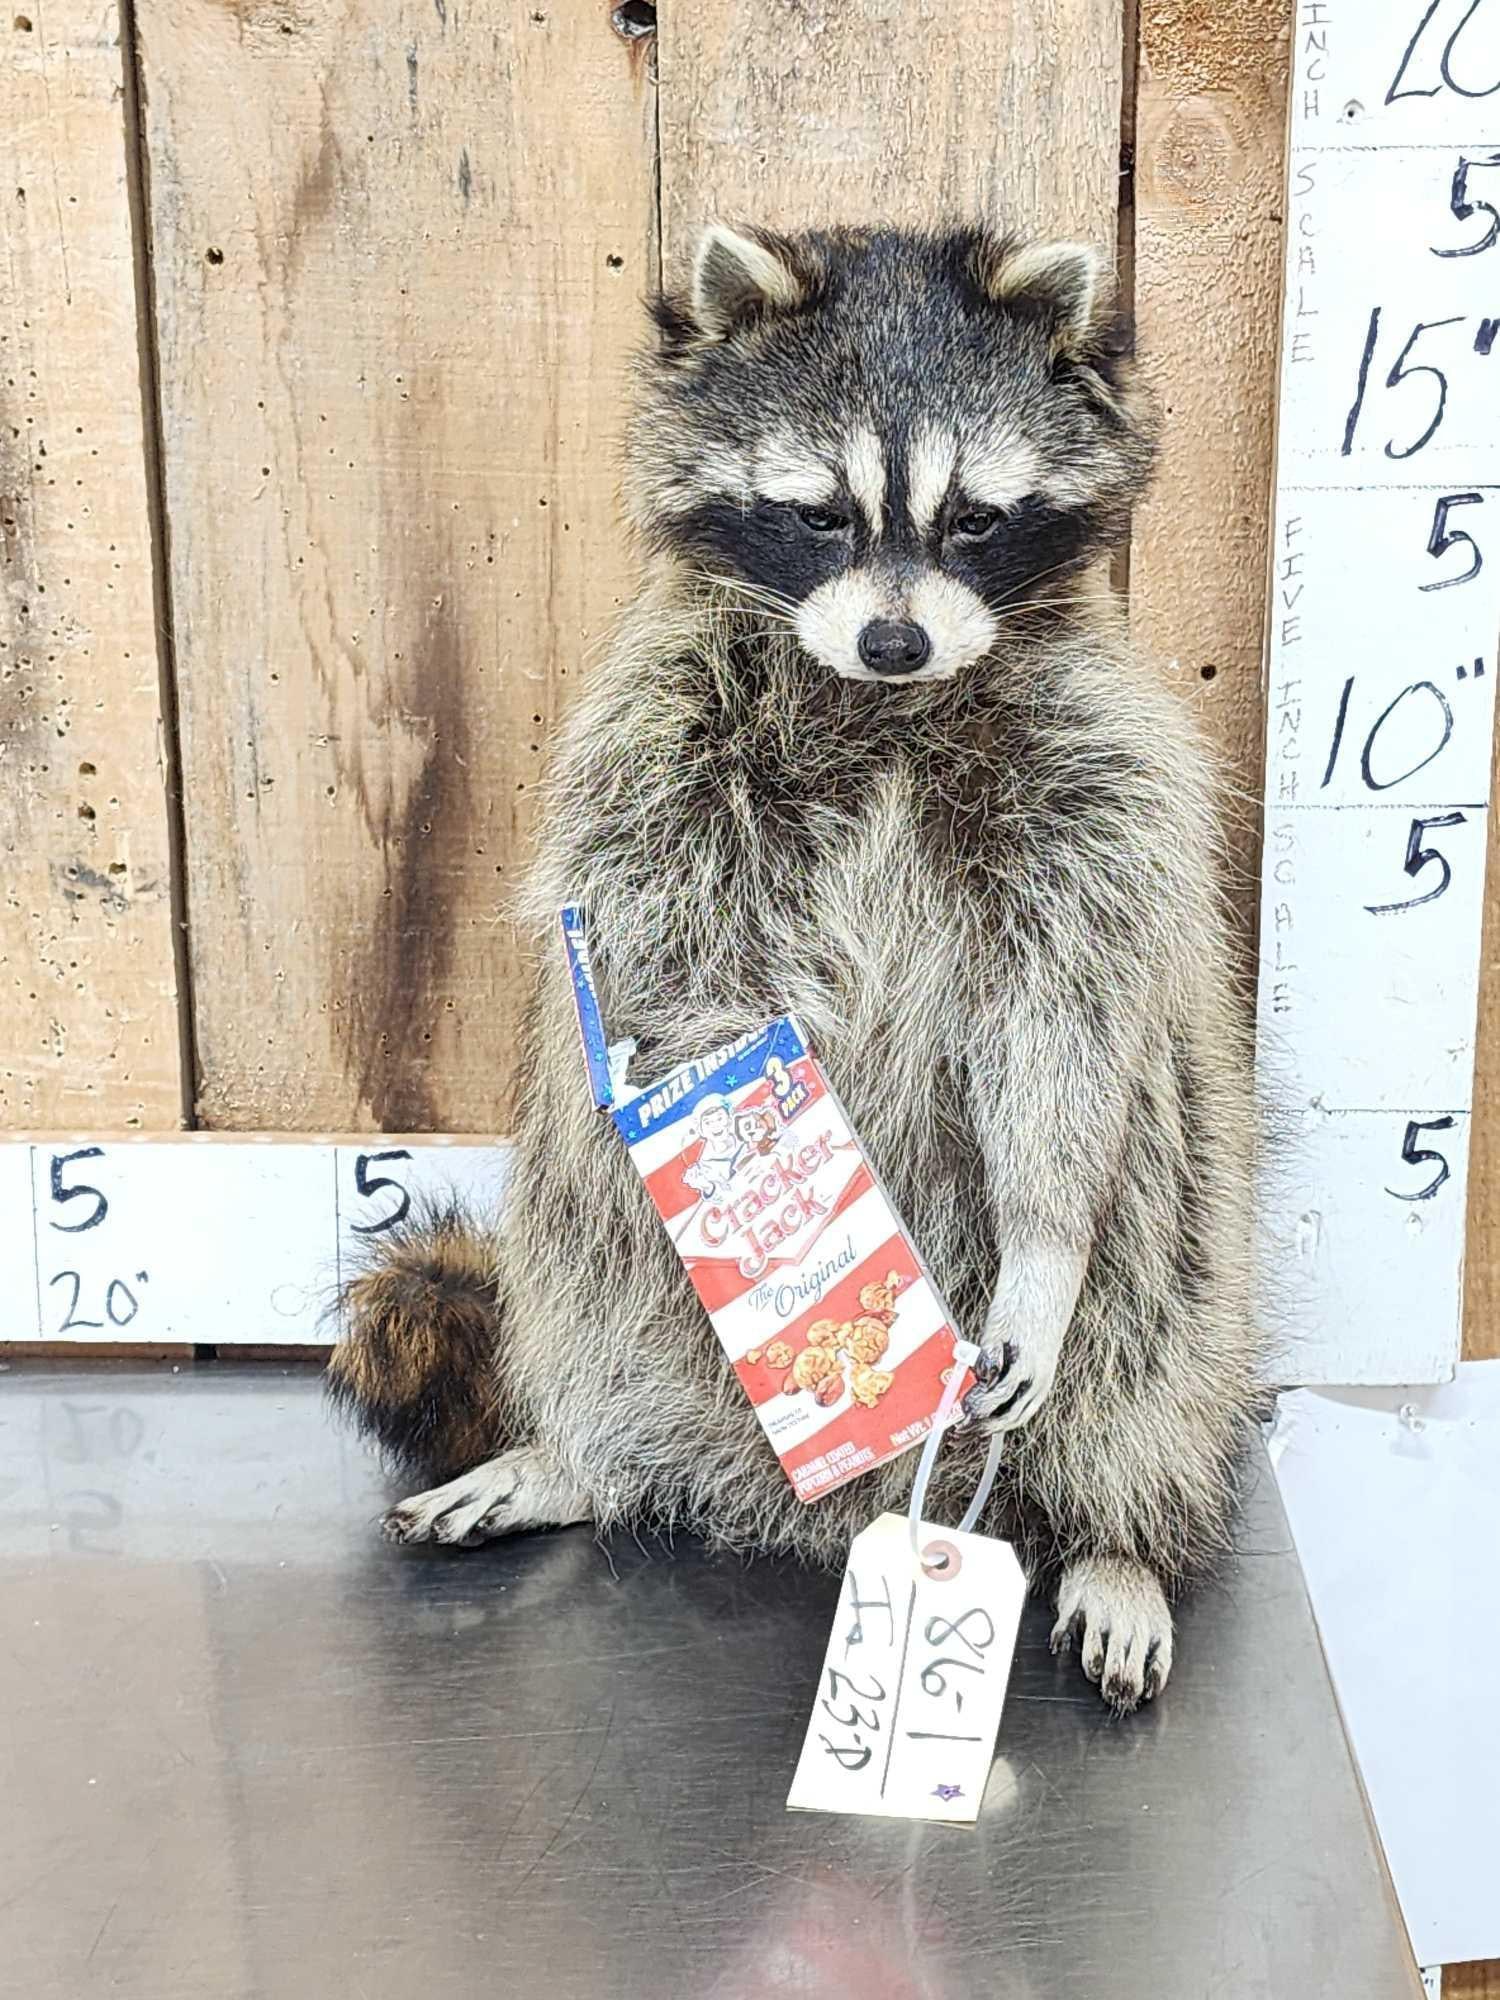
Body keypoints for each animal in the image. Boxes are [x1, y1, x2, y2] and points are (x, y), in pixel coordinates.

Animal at [328, 223, 1263, 1711]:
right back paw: (591, 1450)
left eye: (973, 519)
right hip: (602, 1241)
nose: (894, 639)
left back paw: (1125, 1534)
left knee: (1162, 1289)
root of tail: (842, 1508)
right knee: (592, 1249)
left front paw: (1045, 1250)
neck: (883, 704)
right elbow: (671, 978)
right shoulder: (663, 745)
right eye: (821, 514)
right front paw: (750, 1152)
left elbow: (1063, 1018)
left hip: (1181, 1223)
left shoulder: (1094, 772)